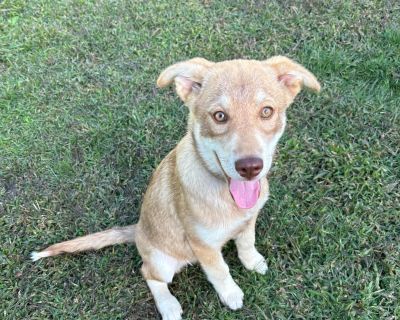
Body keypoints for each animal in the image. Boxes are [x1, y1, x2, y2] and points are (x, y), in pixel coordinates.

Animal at [31, 56, 320, 318]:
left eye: (267, 111)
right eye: (219, 116)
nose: (250, 167)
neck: (225, 196)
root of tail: (137, 228)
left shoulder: (249, 220)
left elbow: (247, 243)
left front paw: (253, 262)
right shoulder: (203, 246)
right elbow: (220, 271)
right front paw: (231, 294)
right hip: (162, 261)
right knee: (149, 274)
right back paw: (168, 306)